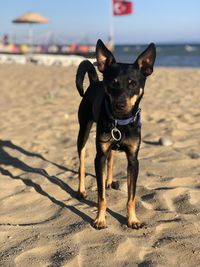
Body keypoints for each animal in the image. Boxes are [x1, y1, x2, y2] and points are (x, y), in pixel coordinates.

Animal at [76, 40, 155, 230]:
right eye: (113, 83)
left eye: (133, 83)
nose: (120, 105)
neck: (121, 121)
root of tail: (94, 82)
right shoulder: (99, 156)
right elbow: (101, 197)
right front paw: (100, 219)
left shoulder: (133, 159)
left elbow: (131, 197)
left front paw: (133, 220)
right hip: (83, 131)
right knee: (81, 161)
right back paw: (81, 190)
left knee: (111, 159)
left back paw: (109, 181)